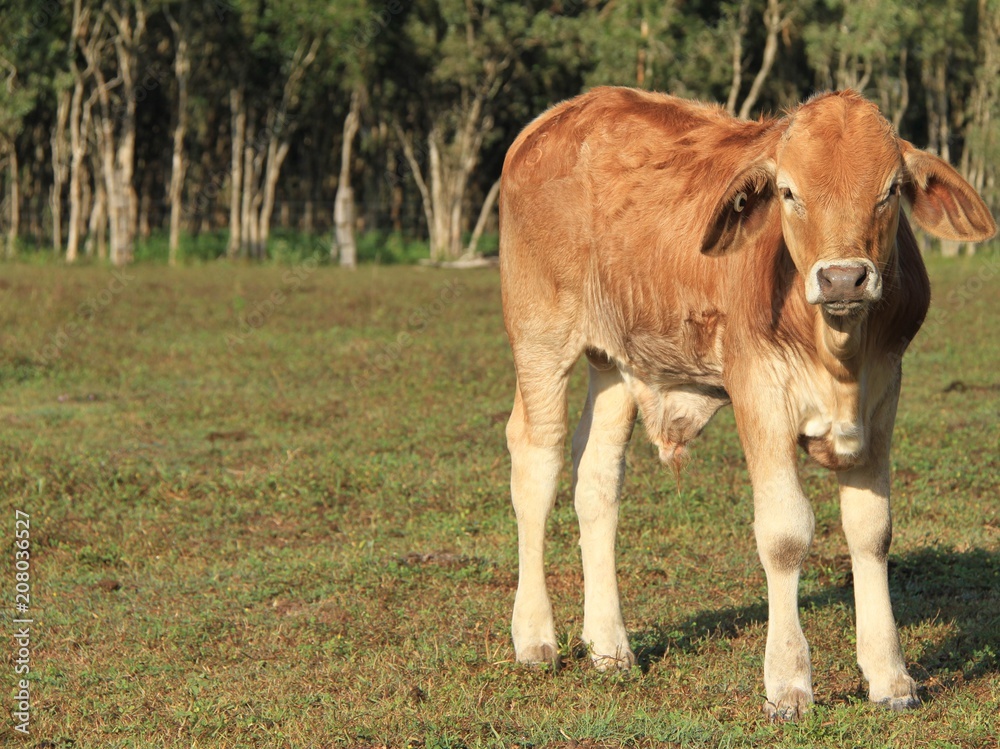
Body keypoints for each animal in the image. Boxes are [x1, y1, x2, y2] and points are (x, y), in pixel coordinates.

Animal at [498, 87, 992, 720]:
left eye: (889, 191)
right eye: (788, 191)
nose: (843, 279)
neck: (839, 354)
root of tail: (554, 117)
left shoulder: (884, 396)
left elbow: (871, 530)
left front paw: (890, 676)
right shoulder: (758, 391)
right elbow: (784, 534)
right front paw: (788, 683)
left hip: (617, 363)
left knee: (597, 480)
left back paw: (610, 647)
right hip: (540, 337)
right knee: (537, 464)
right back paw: (535, 638)